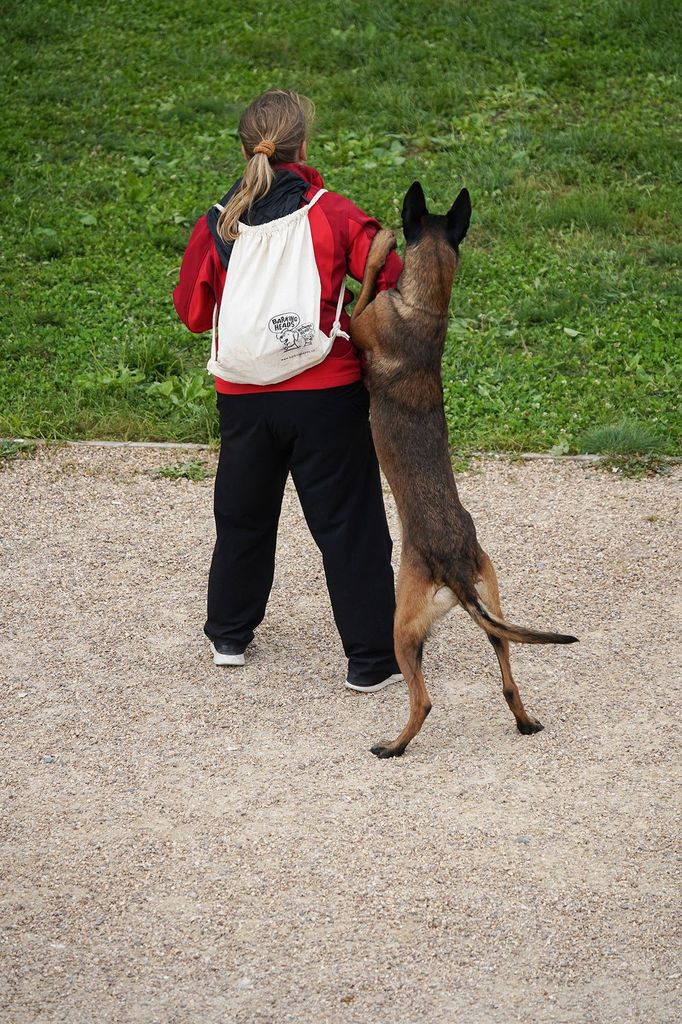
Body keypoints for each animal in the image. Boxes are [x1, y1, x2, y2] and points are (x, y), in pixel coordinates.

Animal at [350, 182, 573, 761]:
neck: (428, 310)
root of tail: (453, 567)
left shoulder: (356, 325)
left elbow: (363, 288)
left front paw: (381, 244)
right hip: (494, 604)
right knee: (509, 677)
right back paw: (524, 722)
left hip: (404, 627)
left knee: (423, 701)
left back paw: (393, 747)